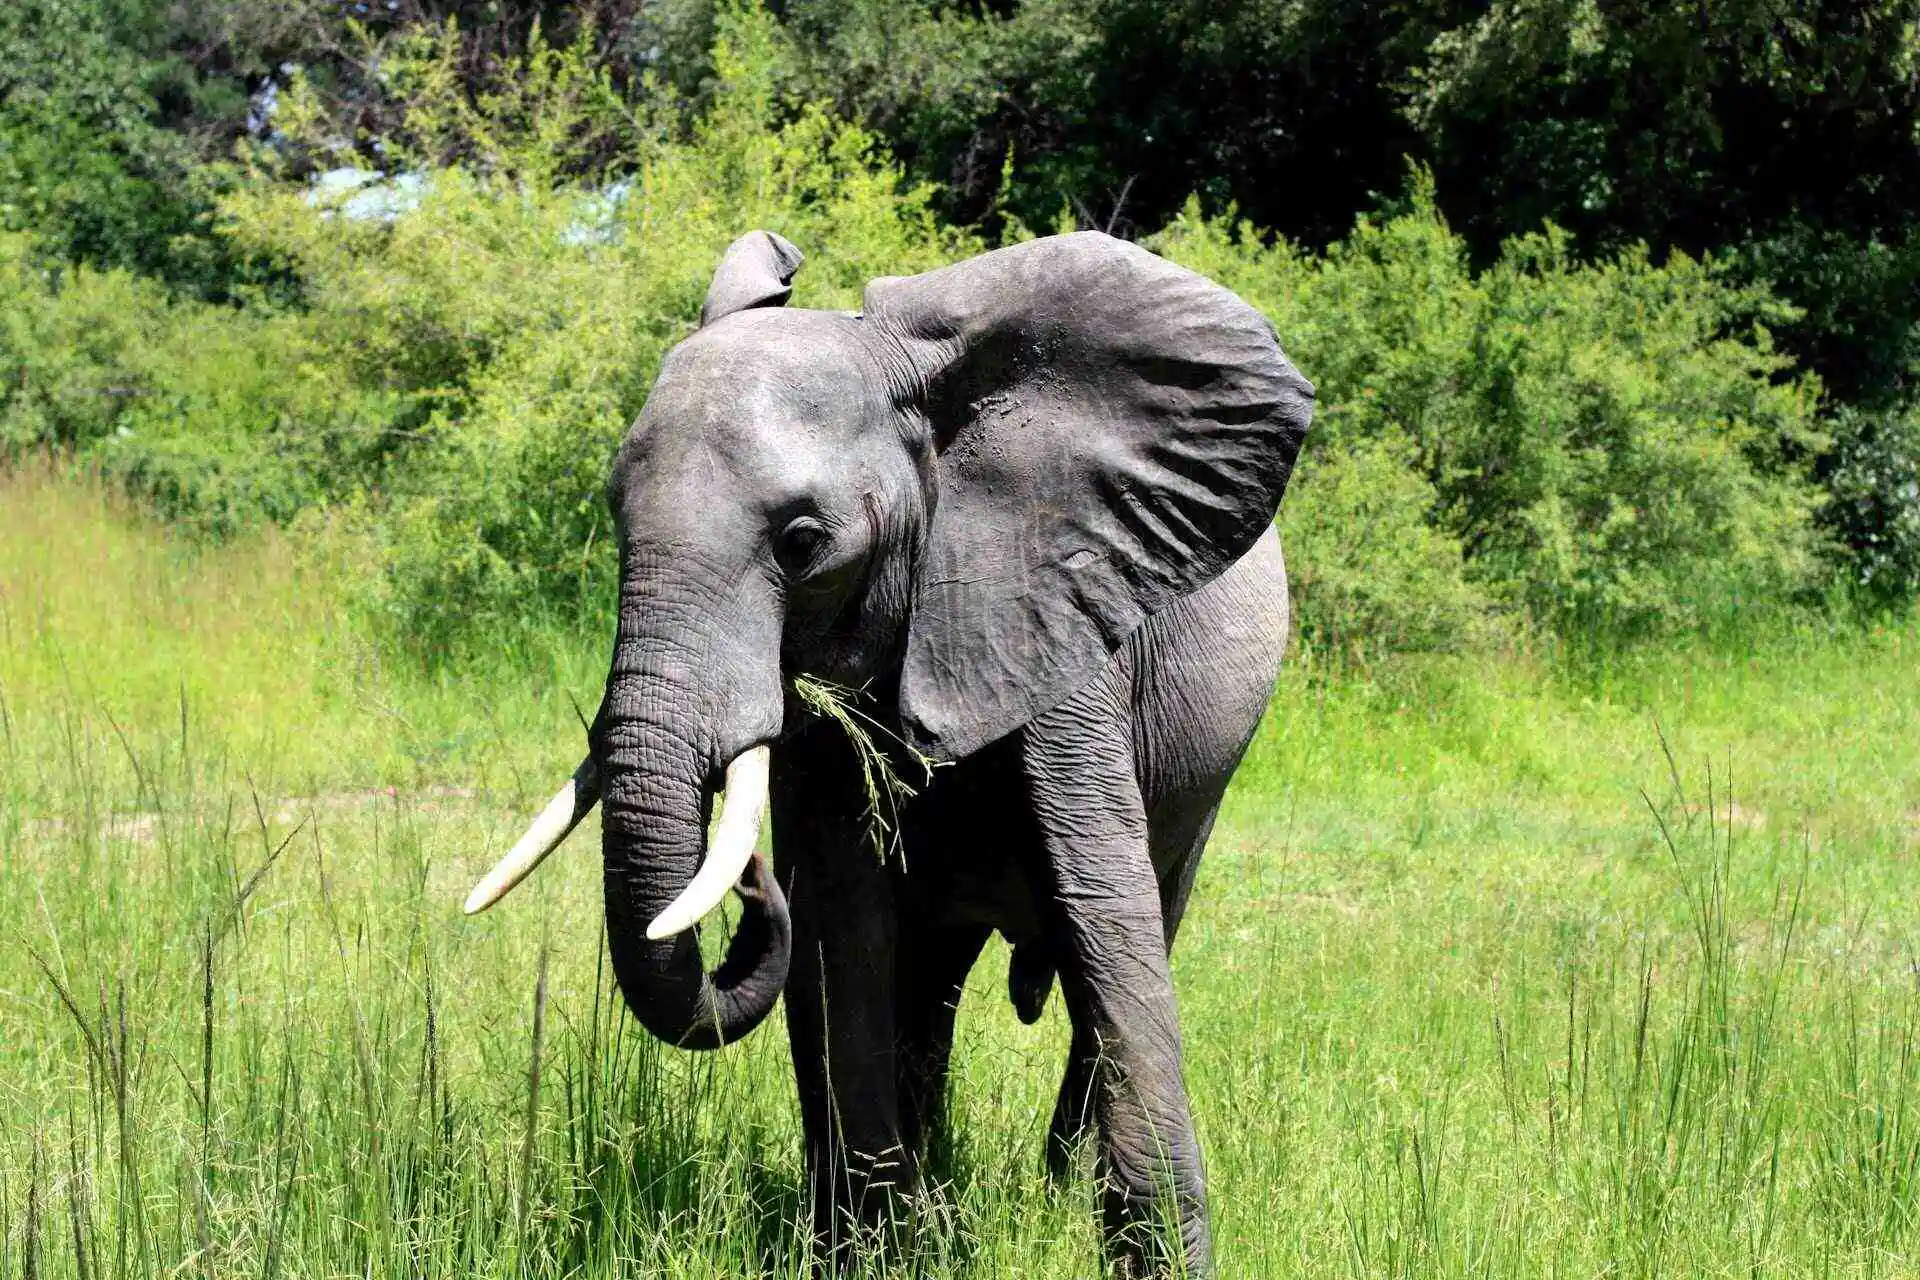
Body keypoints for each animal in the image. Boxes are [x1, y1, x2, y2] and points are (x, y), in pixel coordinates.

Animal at [460, 227, 1320, 1274]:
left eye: (800, 542)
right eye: (617, 517)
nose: (749, 879)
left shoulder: (1054, 612)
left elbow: (1107, 925)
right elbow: (846, 929)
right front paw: (879, 1251)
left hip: (1207, 780)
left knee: (1138, 923)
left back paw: (1047, 1185)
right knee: (927, 982)